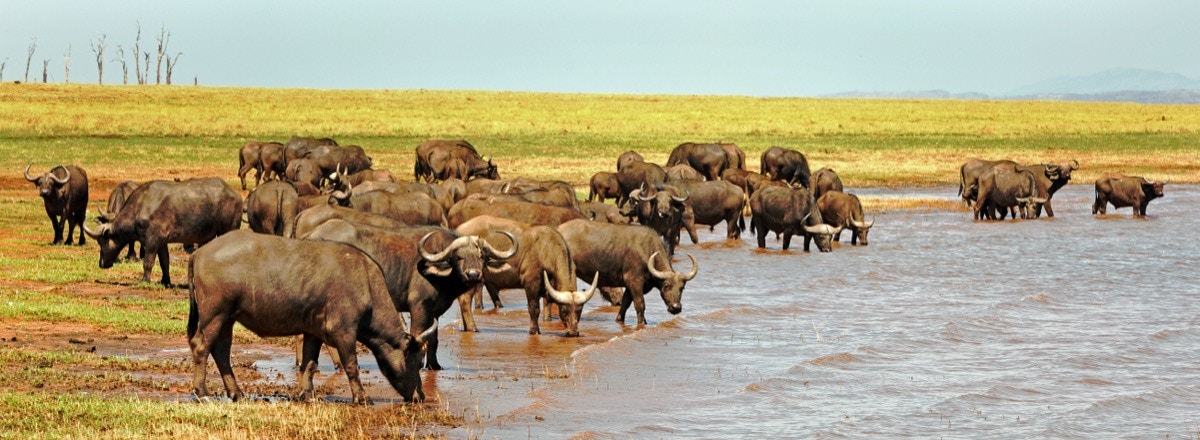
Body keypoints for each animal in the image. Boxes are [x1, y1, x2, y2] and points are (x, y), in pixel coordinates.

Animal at [188, 230, 433, 403]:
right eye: (416, 360)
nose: (420, 396)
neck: (366, 284)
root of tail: (199, 253)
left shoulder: (313, 333)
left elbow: (309, 364)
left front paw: (307, 394)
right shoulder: (344, 332)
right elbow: (351, 365)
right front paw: (361, 397)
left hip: (228, 318)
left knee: (221, 351)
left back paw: (236, 393)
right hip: (214, 315)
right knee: (201, 346)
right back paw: (203, 392)